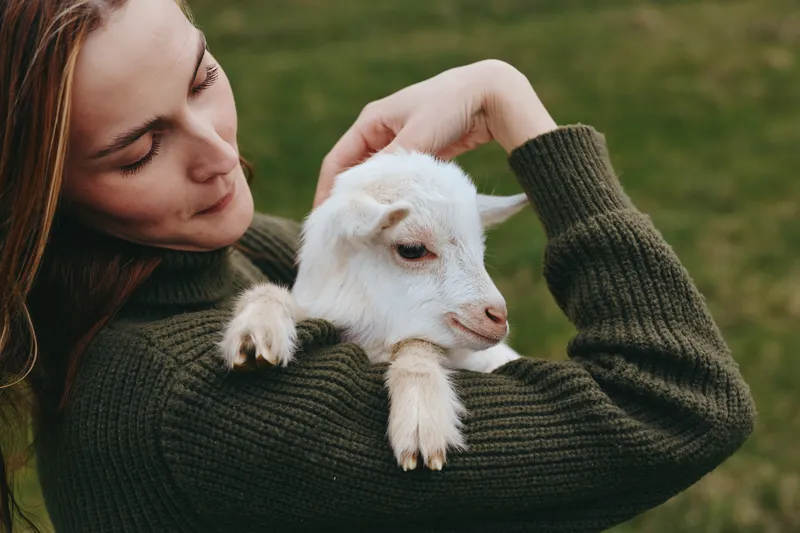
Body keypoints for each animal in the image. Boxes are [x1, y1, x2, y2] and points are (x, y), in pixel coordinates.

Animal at [219, 149, 528, 471]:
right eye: (413, 249)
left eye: (481, 251)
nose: (498, 316)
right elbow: (270, 294)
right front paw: (255, 334)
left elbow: (418, 345)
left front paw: (421, 417)